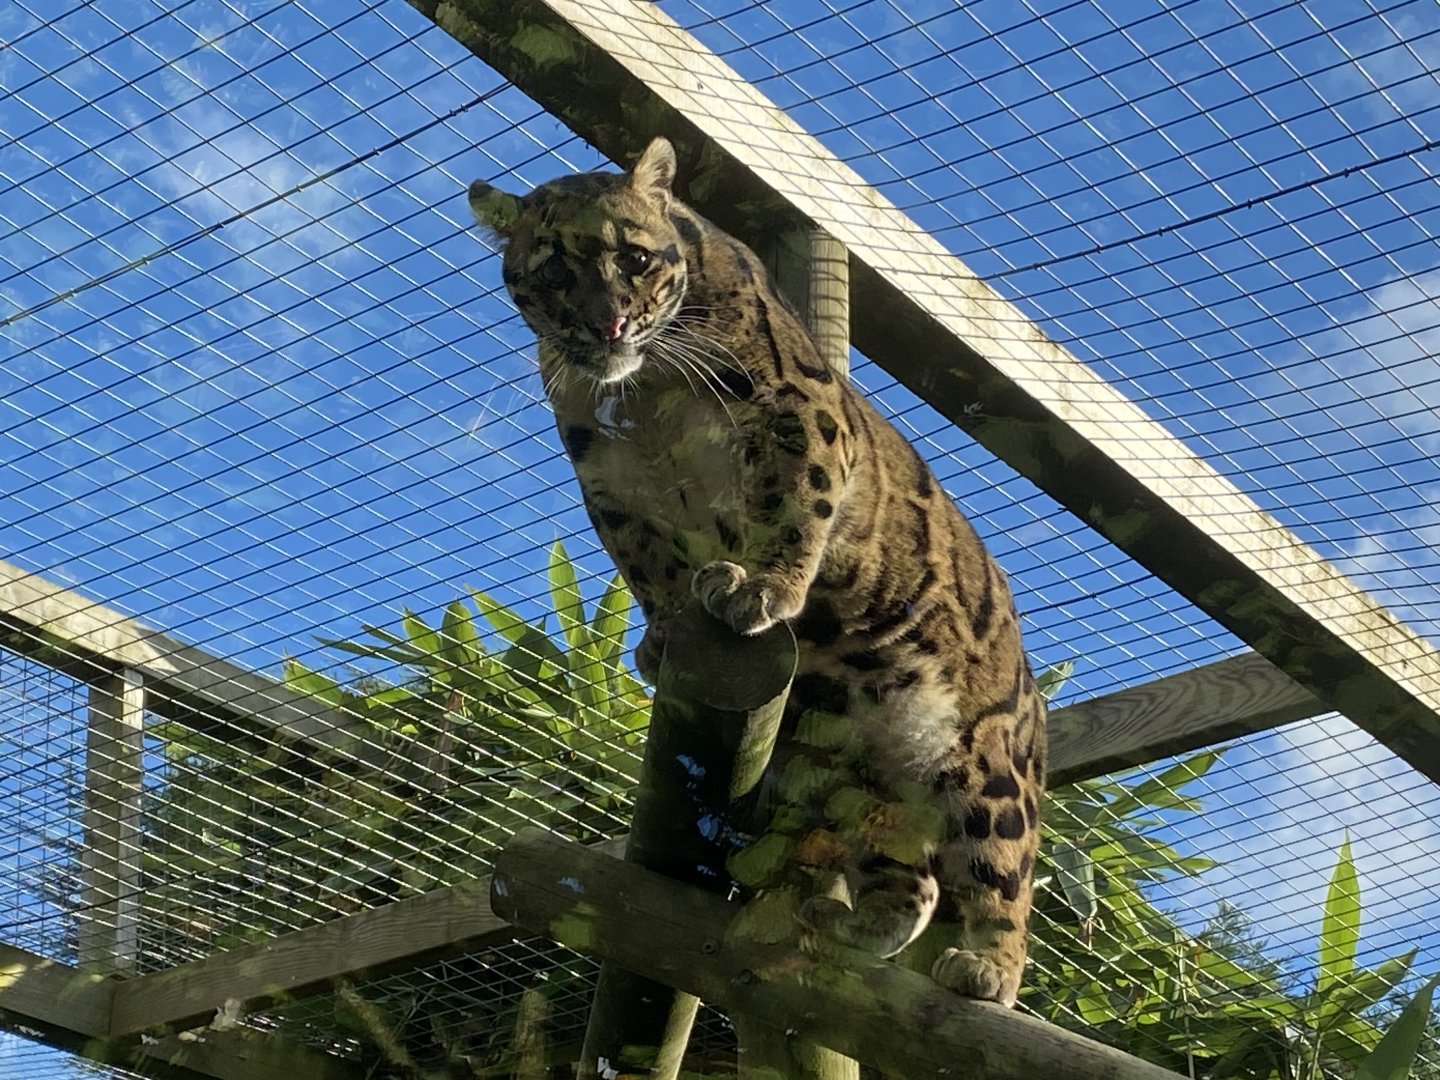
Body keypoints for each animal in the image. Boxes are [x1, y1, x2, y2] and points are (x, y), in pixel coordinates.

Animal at [468, 137, 1047, 1007]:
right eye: (553, 273)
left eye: (634, 258)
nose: (608, 324)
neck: (647, 395)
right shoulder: (610, 485)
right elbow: (646, 566)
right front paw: (666, 632)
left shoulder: (794, 414)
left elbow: (793, 508)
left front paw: (762, 587)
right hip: (848, 776)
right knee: (911, 876)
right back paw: (860, 925)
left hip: (985, 767)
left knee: (1002, 877)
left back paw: (987, 970)